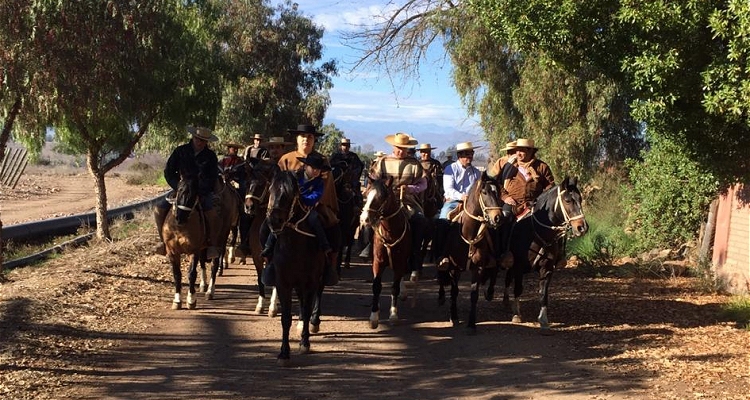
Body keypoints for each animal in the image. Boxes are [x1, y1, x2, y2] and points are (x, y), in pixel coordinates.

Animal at [264, 169, 326, 366]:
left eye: (290, 193)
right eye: (271, 189)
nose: (274, 221)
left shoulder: (310, 283)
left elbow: (305, 311)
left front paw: (304, 342)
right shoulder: (284, 283)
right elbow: (285, 318)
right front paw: (284, 353)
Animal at [358, 177, 412, 328]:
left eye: (381, 197)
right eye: (367, 194)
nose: (364, 218)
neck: (390, 233)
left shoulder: (400, 262)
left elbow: (394, 287)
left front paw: (393, 314)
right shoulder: (378, 262)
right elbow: (376, 286)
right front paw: (374, 316)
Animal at [434, 172, 506, 332]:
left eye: (499, 192)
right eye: (484, 192)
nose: (498, 218)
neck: (468, 234)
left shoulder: (478, 268)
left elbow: (474, 295)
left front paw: (471, 324)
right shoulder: (454, 268)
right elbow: (454, 291)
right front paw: (454, 317)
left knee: (495, 269)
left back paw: (490, 293)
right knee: (441, 274)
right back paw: (441, 297)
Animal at [502, 177, 592, 332]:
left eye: (580, 199)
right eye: (568, 200)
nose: (582, 227)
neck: (537, 232)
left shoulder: (547, 268)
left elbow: (543, 294)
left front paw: (543, 320)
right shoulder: (518, 265)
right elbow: (518, 288)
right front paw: (517, 314)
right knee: (508, 278)